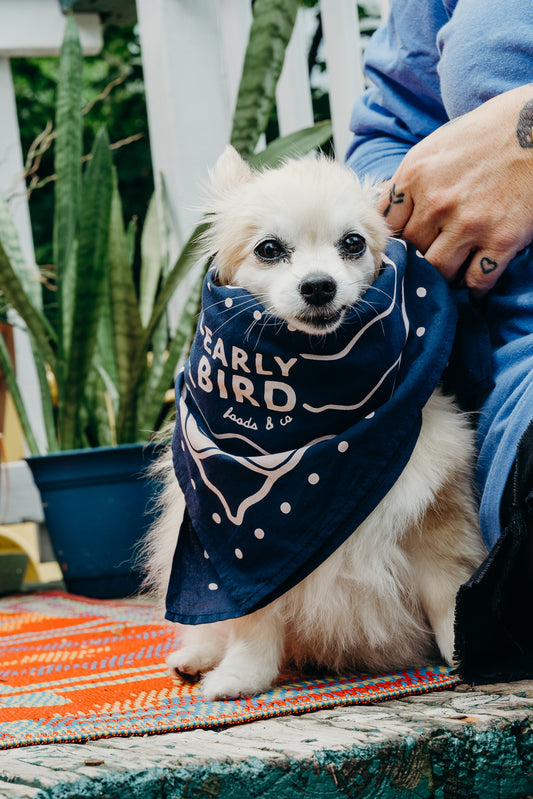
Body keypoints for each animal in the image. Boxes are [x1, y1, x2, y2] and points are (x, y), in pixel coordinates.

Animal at [142, 145, 486, 700]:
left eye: (352, 243)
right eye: (268, 249)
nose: (320, 285)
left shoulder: (436, 524)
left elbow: (447, 600)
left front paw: (464, 653)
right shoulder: (245, 559)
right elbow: (253, 625)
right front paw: (240, 678)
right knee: (214, 631)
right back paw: (198, 658)